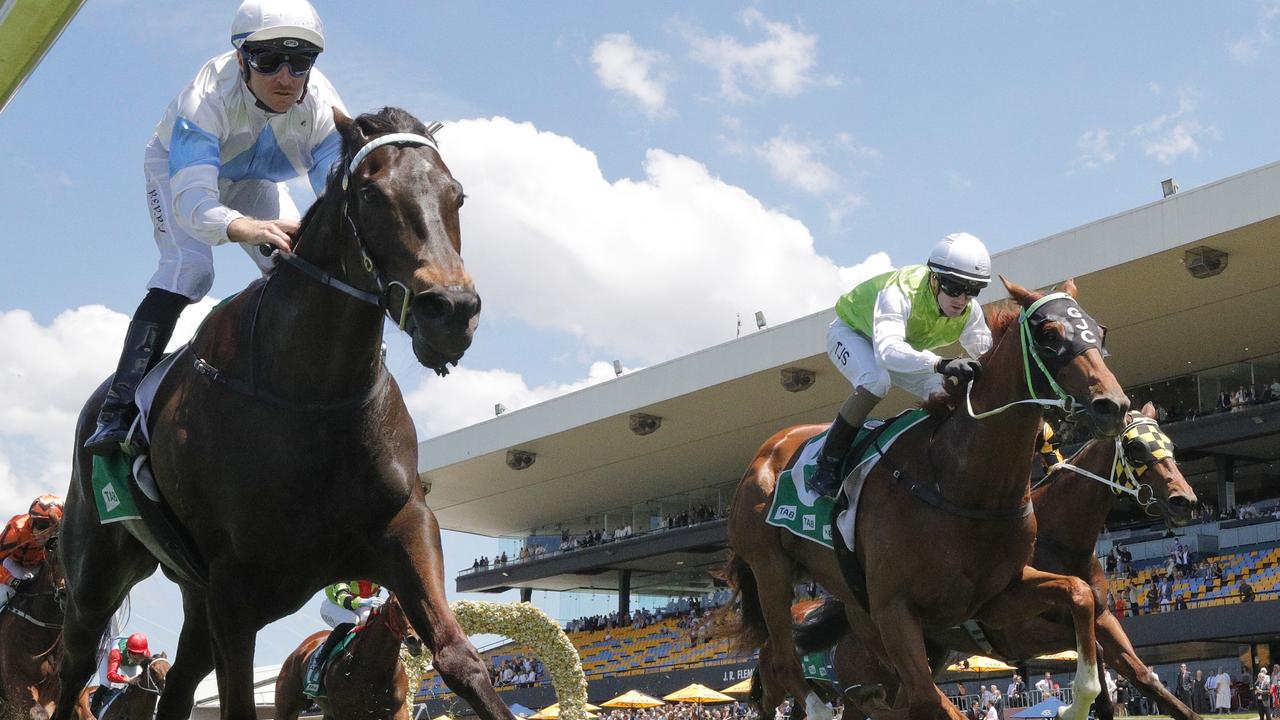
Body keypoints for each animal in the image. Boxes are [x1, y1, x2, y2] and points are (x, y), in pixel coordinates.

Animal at [727, 278, 1126, 717]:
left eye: (1100, 331)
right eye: (1050, 334)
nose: (1113, 405)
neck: (963, 486)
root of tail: (769, 448)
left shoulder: (995, 600)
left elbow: (1080, 593)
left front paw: (1079, 700)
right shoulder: (895, 609)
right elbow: (927, 697)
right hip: (770, 569)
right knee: (785, 658)